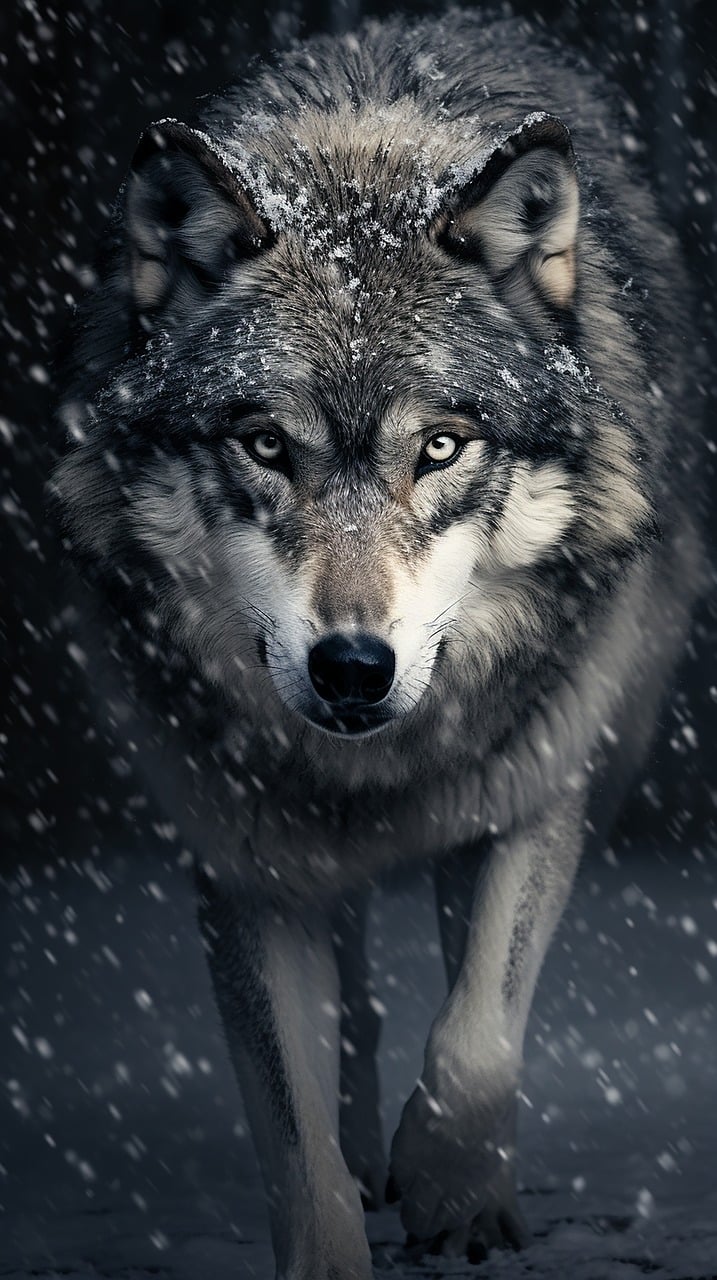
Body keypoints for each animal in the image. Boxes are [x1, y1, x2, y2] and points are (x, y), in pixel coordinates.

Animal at [49, 9, 706, 1278]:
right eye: (264, 444)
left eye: (441, 446)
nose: (352, 665)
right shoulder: (240, 860)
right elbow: (295, 1144)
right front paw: (348, 1197)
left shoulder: (540, 791)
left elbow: (479, 1035)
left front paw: (454, 1186)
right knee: (354, 993)